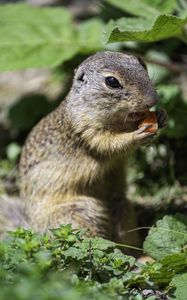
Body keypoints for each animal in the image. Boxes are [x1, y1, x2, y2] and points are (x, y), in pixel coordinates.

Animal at [0, 51, 167, 244]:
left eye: (142, 64)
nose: (152, 99)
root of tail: (35, 230)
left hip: (124, 210)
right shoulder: (87, 131)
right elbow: (110, 145)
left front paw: (162, 116)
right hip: (82, 212)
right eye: (112, 81)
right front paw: (136, 135)